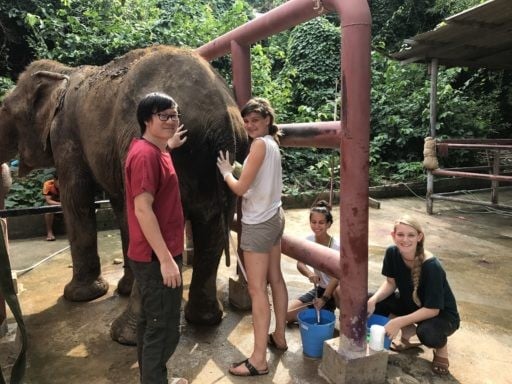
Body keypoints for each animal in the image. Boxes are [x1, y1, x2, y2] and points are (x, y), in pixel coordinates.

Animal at [0, 45, 248, 342]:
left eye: (4, 108)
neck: (63, 73)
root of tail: (220, 114)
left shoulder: (66, 135)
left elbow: (77, 199)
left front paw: (79, 296)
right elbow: (119, 204)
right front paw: (122, 289)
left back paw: (125, 336)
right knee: (210, 227)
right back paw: (205, 319)